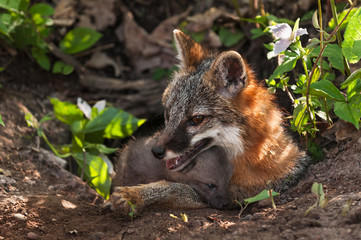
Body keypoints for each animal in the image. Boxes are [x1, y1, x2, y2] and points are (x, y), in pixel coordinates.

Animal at [108, 29, 306, 215]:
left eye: (196, 119)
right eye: (168, 114)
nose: (156, 151)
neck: (254, 157)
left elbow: (178, 188)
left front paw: (135, 195)